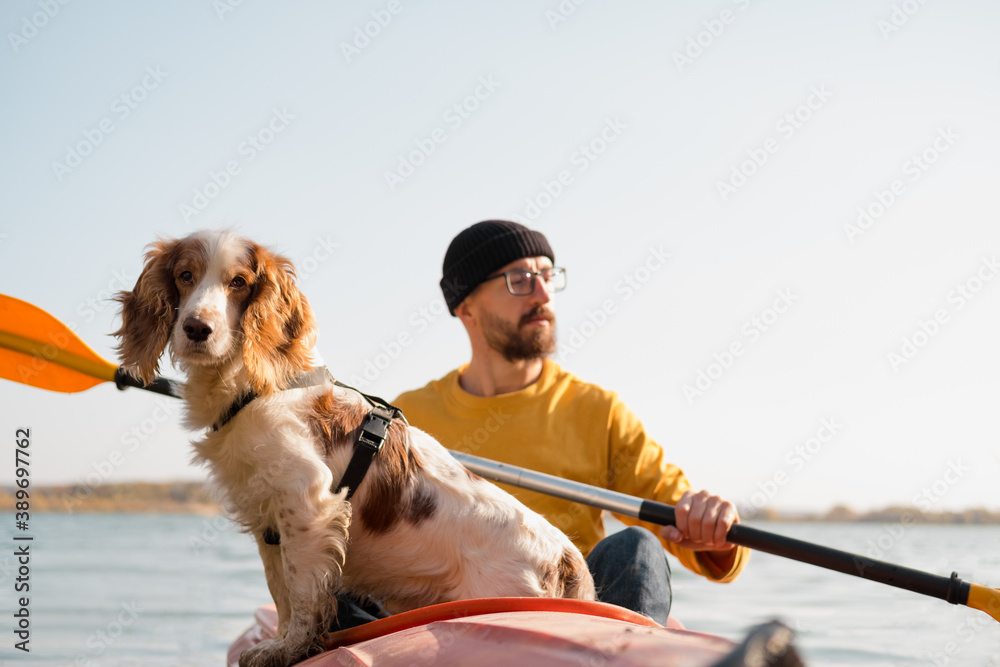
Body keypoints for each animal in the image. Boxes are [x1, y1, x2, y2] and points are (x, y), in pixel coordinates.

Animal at [111, 231, 592, 667]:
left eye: (239, 282)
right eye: (185, 275)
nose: (197, 328)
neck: (256, 385)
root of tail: (565, 558)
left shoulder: (308, 501)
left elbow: (301, 592)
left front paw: (287, 648)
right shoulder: (269, 518)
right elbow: (280, 591)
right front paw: (281, 642)